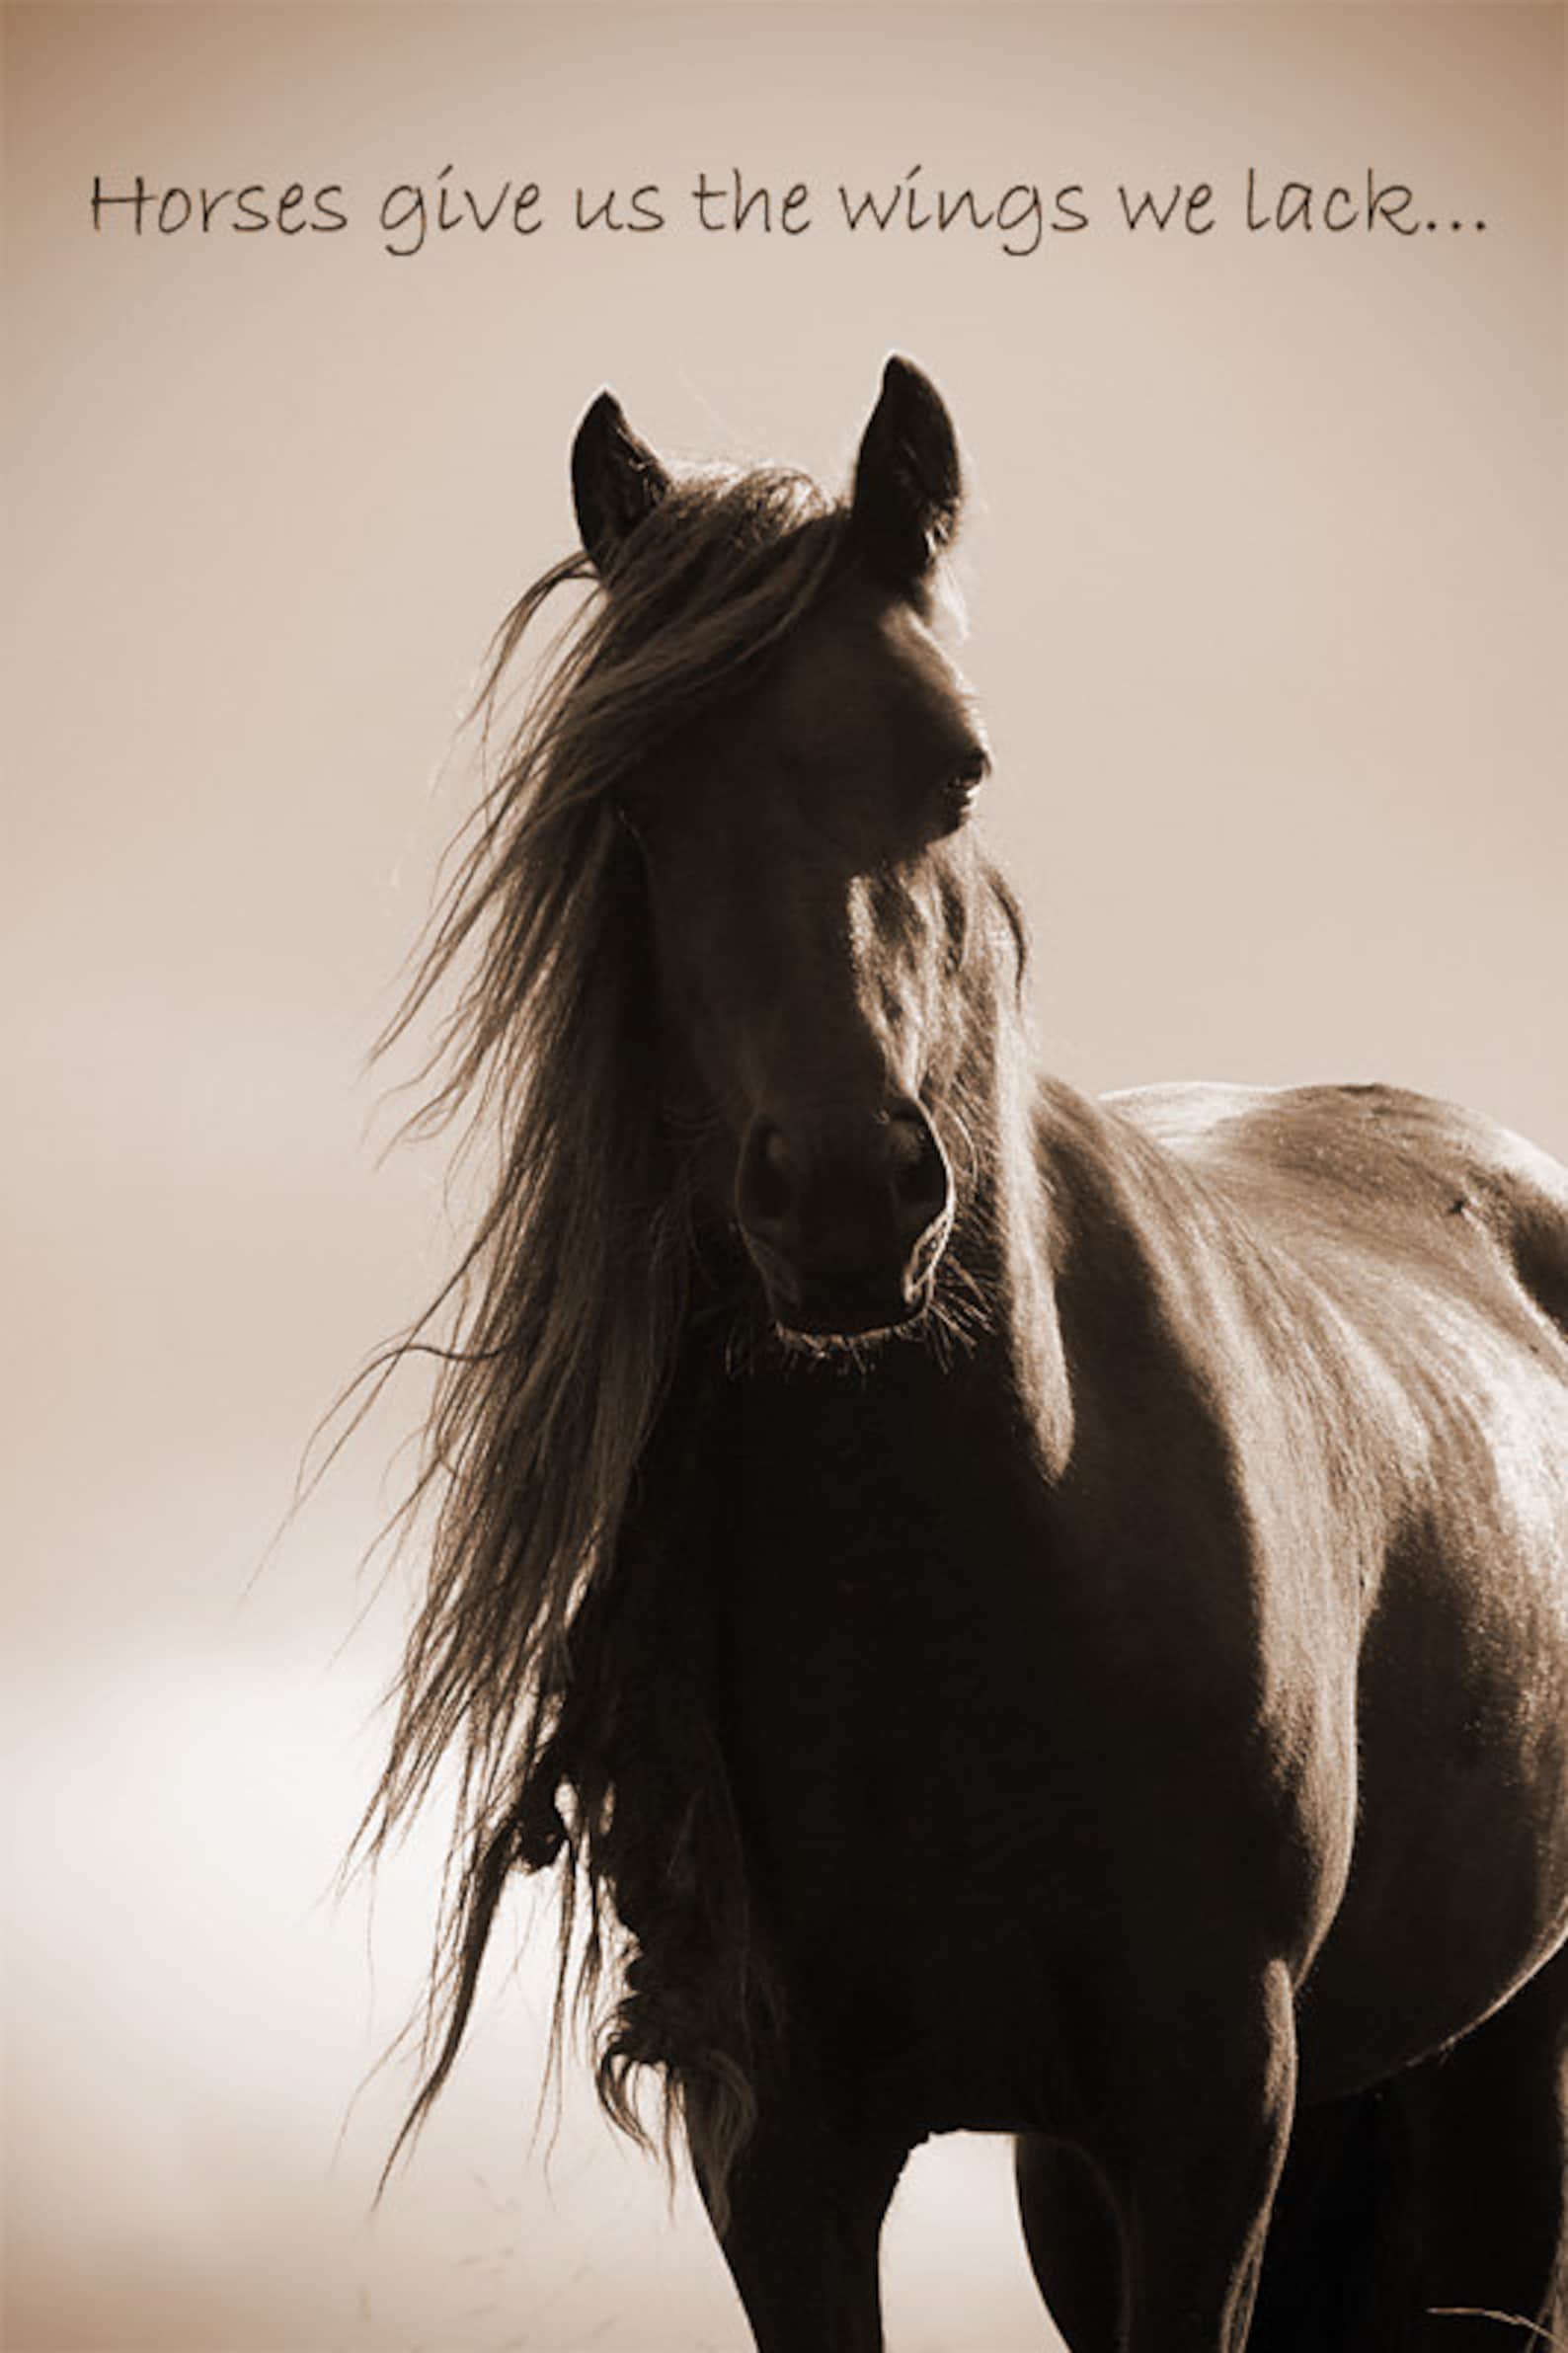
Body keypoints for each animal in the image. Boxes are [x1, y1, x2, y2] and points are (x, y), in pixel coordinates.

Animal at [365, 357, 1568, 2351]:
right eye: (636, 804)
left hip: (1493, 2068)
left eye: (960, 766)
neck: (970, 1574)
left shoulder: (1208, 2112)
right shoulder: (782, 2151)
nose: (851, 1193)